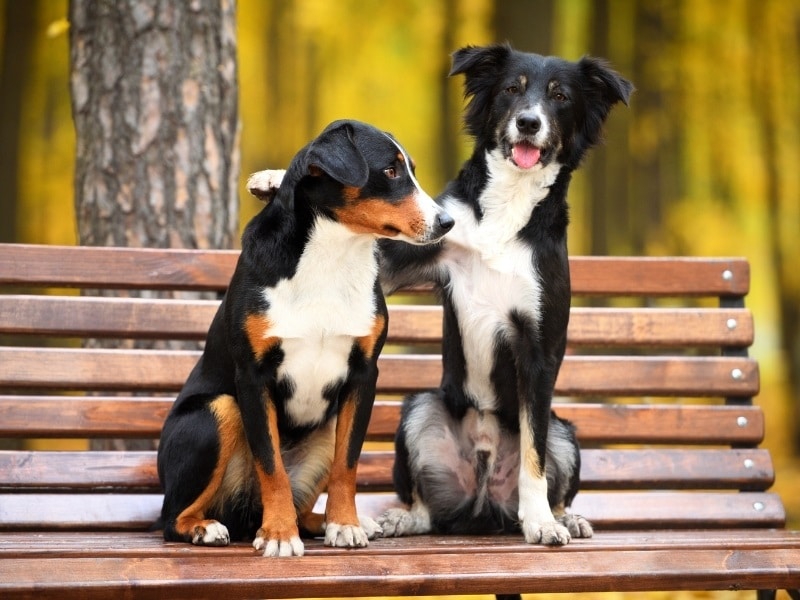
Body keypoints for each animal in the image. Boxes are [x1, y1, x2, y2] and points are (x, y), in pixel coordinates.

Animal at [159, 118, 454, 556]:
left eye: (410, 169)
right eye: (390, 171)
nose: (447, 222)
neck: (331, 257)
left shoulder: (363, 375)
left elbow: (347, 465)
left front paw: (345, 525)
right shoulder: (253, 377)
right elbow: (271, 466)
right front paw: (279, 535)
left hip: (324, 427)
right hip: (218, 409)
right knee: (170, 517)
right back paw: (206, 528)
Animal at [378, 44, 636, 548]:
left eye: (559, 96)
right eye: (512, 89)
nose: (529, 123)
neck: (510, 203)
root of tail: (481, 503)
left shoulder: (538, 346)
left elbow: (533, 460)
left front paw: (541, 522)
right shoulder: (415, 252)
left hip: (563, 431)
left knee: (553, 478)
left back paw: (566, 518)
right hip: (421, 408)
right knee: (426, 506)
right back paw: (405, 518)